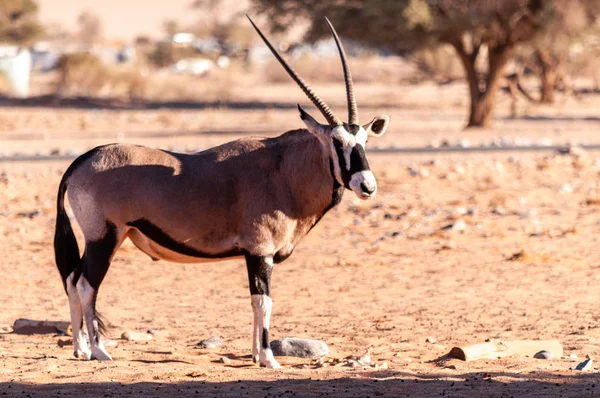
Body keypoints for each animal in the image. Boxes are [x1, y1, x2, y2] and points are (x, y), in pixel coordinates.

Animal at [55, 17, 390, 368]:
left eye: (364, 141)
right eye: (337, 143)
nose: (367, 185)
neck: (283, 170)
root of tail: (83, 160)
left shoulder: (255, 255)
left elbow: (255, 301)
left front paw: (255, 355)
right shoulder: (260, 252)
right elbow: (263, 302)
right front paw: (268, 358)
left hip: (103, 239)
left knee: (72, 279)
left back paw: (80, 347)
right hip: (104, 237)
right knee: (86, 284)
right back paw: (98, 350)